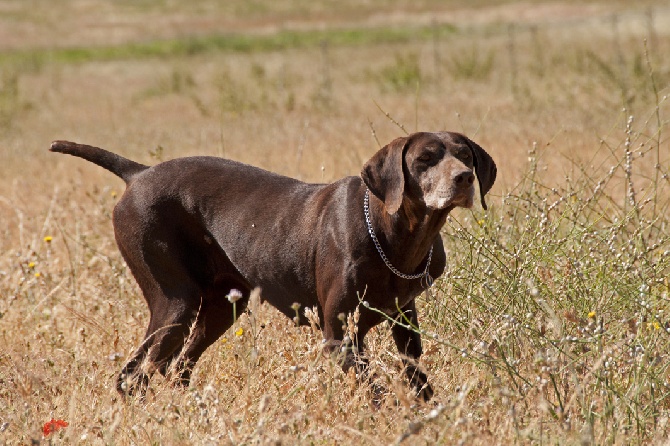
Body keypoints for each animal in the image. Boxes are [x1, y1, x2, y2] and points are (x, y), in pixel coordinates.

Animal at [50, 132, 496, 400]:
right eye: (424, 160)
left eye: (464, 155)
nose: (464, 178)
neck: (391, 234)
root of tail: (138, 173)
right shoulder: (339, 337)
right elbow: (377, 391)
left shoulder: (405, 323)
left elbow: (418, 382)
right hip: (175, 303)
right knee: (134, 375)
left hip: (221, 306)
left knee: (175, 369)